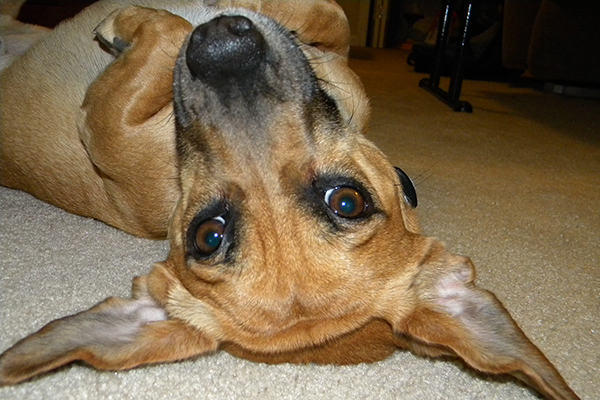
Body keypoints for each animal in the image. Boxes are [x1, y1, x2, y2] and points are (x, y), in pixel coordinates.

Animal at [0, 1, 580, 398]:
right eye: (209, 235)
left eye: (347, 202)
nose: (223, 50)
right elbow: (328, 19)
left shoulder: (109, 123)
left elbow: (177, 34)